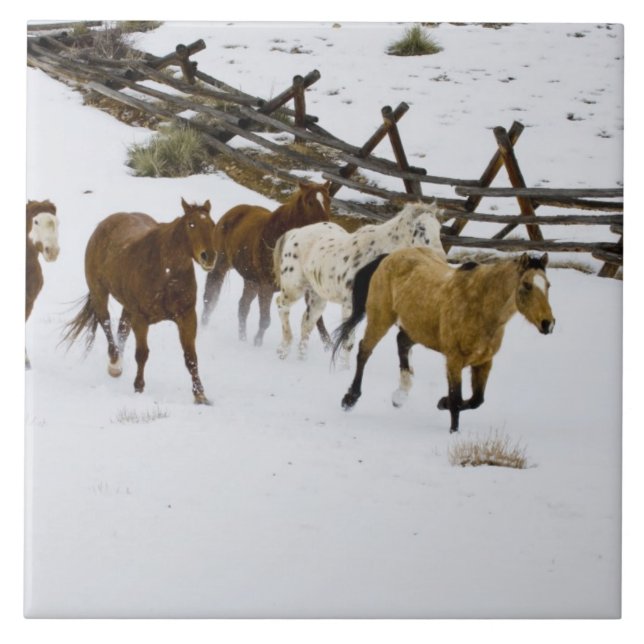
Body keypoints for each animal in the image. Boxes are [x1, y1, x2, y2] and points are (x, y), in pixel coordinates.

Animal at [63, 198, 216, 404]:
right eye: (191, 224)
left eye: (212, 225)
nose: (209, 256)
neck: (166, 274)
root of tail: (104, 224)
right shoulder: (141, 318)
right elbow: (142, 354)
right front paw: (138, 387)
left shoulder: (187, 316)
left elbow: (191, 357)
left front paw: (200, 395)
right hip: (99, 293)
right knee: (106, 323)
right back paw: (114, 365)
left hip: (127, 307)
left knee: (122, 329)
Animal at [201, 180, 331, 347]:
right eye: (310, 202)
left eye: (329, 200)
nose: (326, 227)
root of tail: (231, 213)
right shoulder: (267, 287)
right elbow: (265, 320)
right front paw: (257, 343)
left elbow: (317, 320)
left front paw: (329, 345)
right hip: (221, 266)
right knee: (211, 295)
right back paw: (204, 324)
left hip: (251, 281)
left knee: (243, 307)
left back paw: (242, 338)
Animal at [273, 200, 445, 365]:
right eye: (421, 227)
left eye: (439, 228)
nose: (440, 257)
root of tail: (296, 232)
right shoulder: (350, 306)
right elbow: (348, 342)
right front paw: (343, 370)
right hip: (293, 288)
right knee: (282, 306)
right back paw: (283, 350)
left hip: (317, 297)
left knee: (307, 323)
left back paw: (301, 358)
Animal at [333, 248, 555, 432]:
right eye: (527, 285)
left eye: (548, 285)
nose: (548, 323)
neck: (480, 307)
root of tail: (389, 256)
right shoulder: (454, 360)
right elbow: (457, 399)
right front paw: (453, 430)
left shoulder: (484, 362)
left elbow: (476, 400)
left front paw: (442, 402)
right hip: (381, 318)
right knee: (364, 351)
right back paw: (350, 398)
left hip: (418, 328)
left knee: (401, 342)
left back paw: (400, 395)